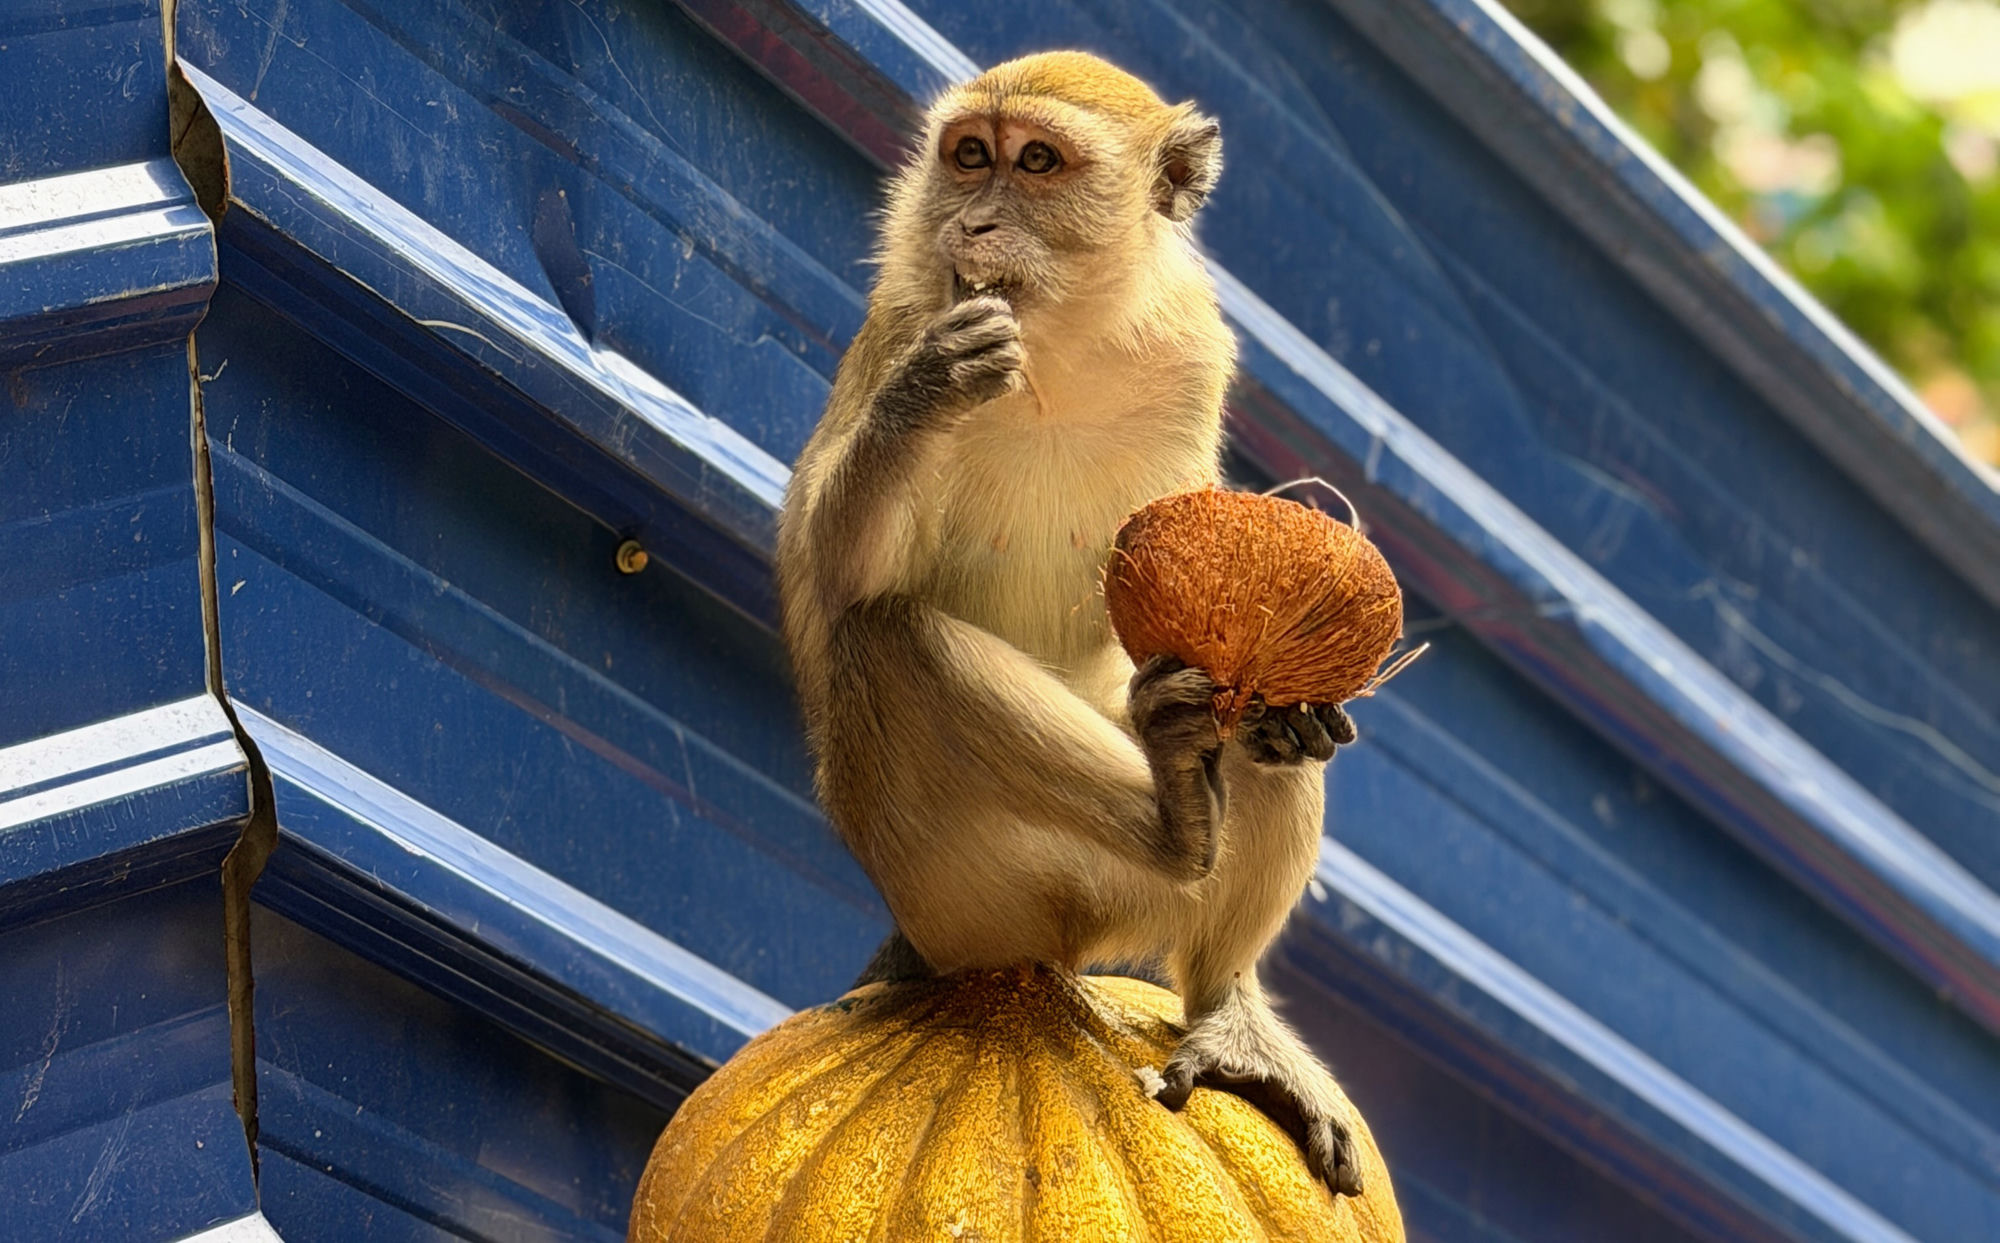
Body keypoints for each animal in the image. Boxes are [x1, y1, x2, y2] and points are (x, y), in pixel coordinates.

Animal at [776, 51, 1364, 1198]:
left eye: (1036, 163)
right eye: (970, 156)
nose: (973, 222)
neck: (1059, 349)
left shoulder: (1189, 349)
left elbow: (1209, 592)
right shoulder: (902, 313)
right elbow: (838, 570)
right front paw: (930, 387)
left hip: (1117, 911)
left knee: (1252, 727)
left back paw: (1226, 993)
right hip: (960, 890)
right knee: (887, 636)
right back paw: (1175, 816)